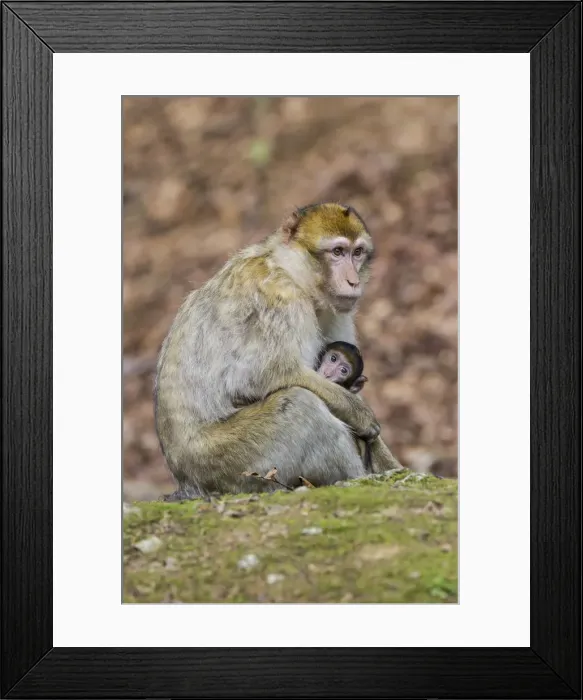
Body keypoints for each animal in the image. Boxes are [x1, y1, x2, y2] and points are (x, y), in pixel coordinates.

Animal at [155, 202, 403, 499]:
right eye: (337, 252)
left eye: (357, 253)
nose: (354, 281)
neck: (290, 271)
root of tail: (185, 480)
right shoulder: (280, 299)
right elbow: (259, 378)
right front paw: (359, 414)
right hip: (226, 465)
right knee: (300, 404)